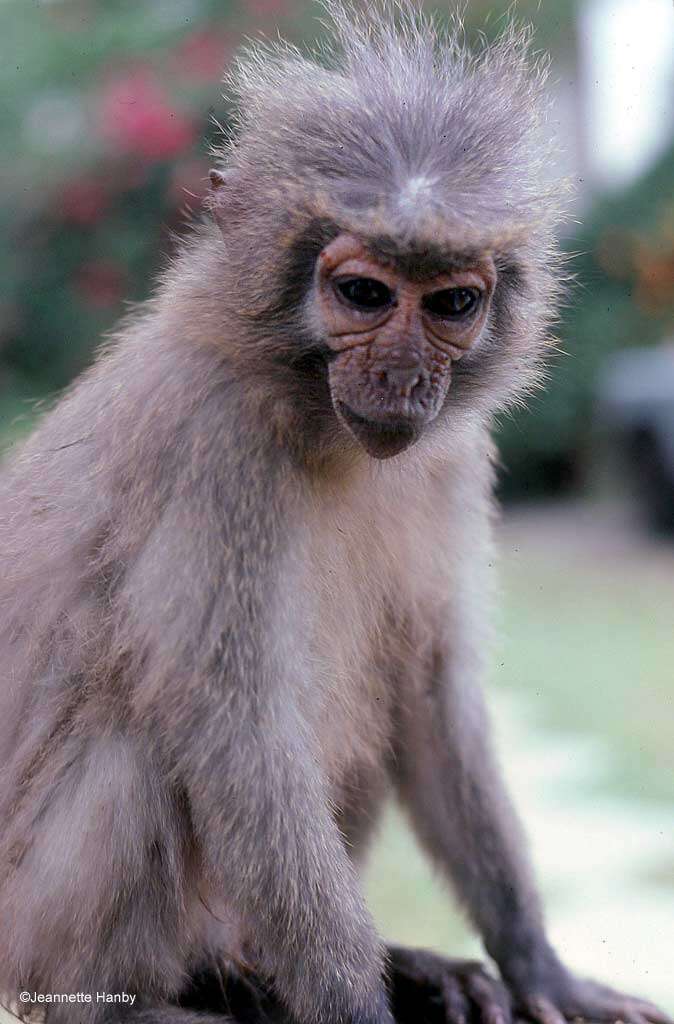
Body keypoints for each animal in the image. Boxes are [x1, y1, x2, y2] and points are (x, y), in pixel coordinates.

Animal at [0, 6, 667, 1024]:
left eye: (453, 303)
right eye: (362, 294)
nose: (401, 375)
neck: (312, 415)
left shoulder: (452, 454)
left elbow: (431, 690)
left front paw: (536, 961)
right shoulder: (214, 442)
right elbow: (241, 735)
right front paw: (356, 1004)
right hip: (32, 921)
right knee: (147, 731)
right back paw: (131, 1001)